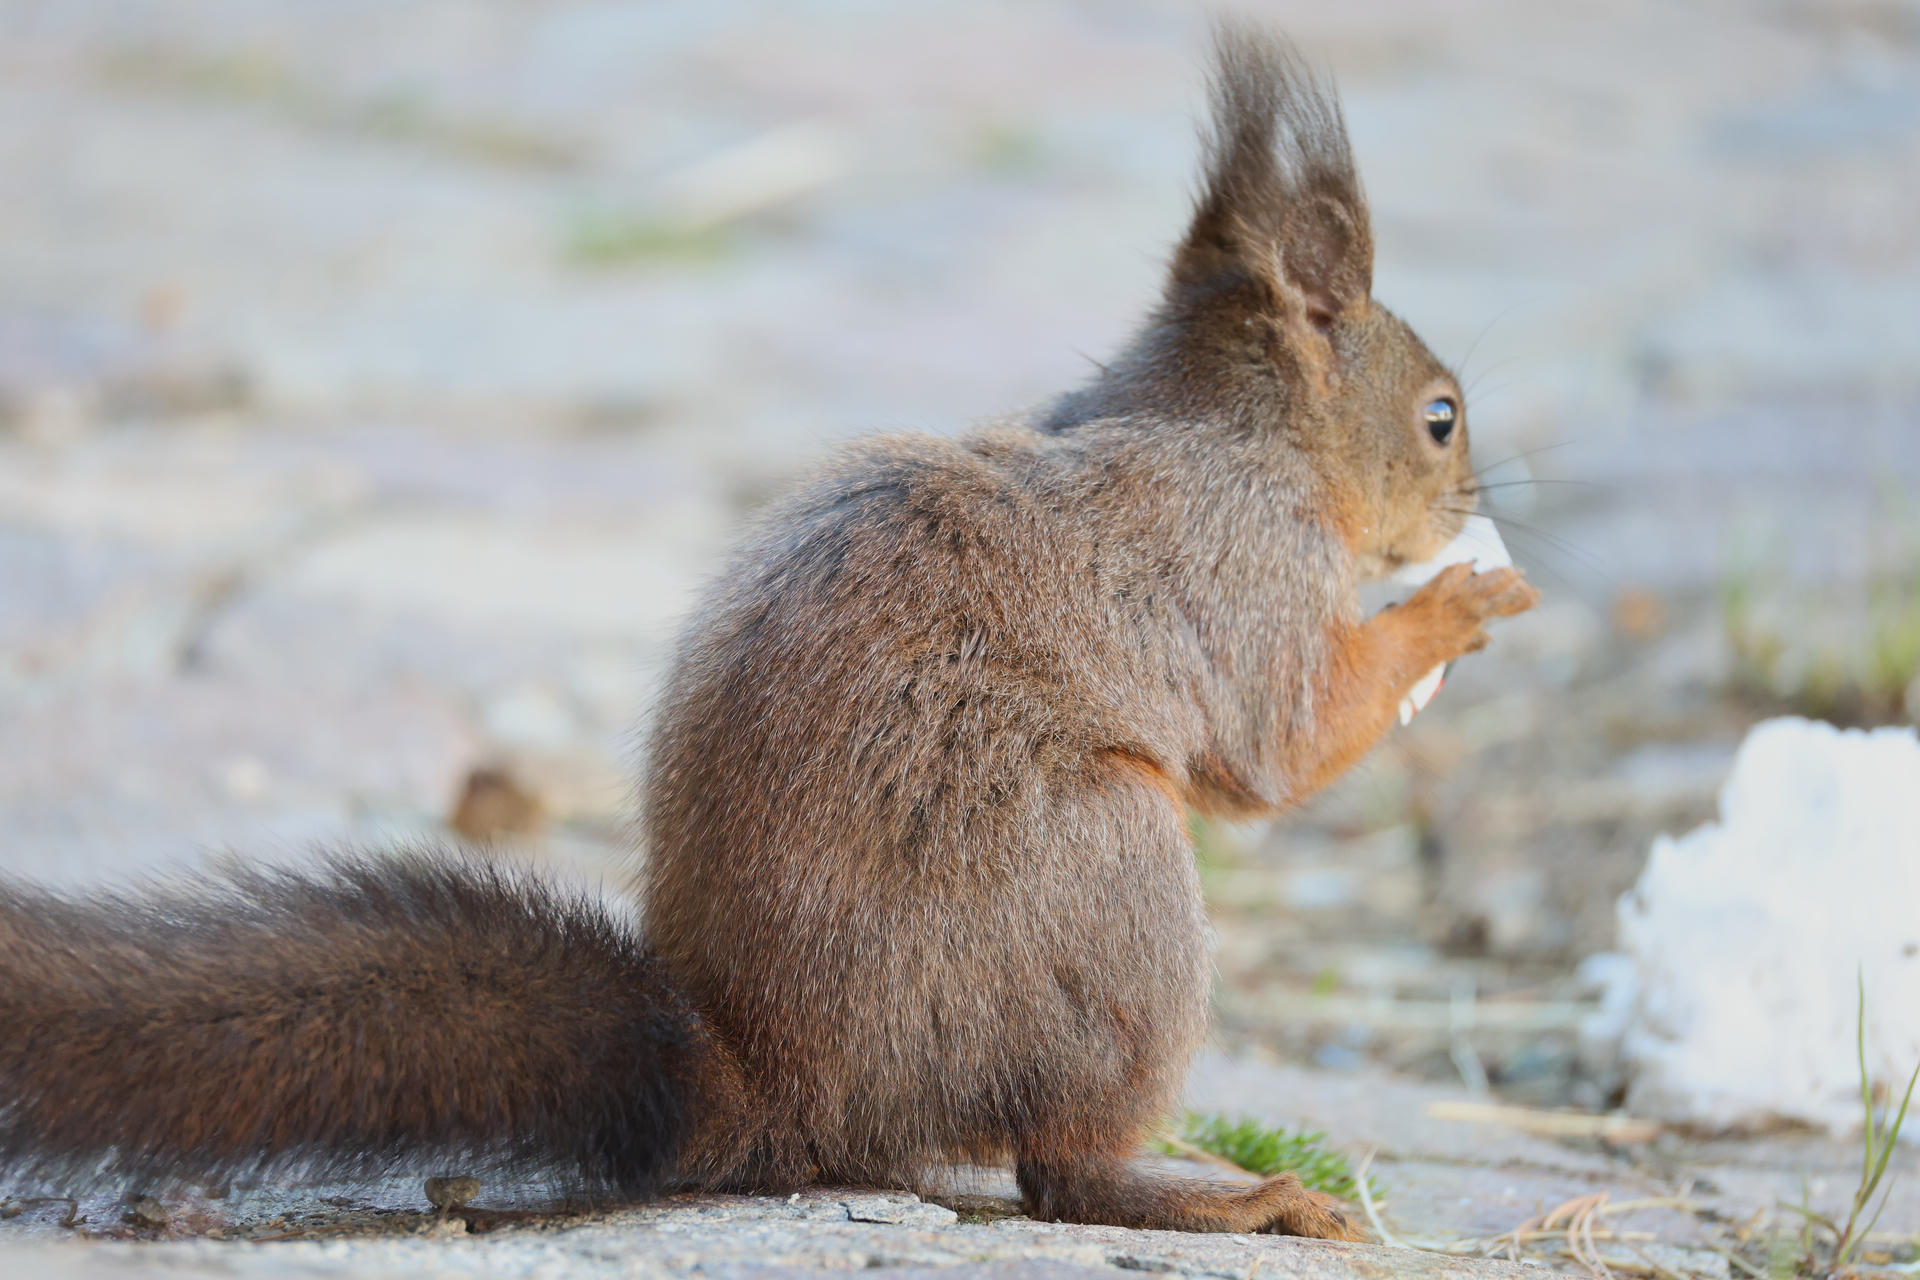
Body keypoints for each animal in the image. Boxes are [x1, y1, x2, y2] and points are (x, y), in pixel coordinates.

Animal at [0, 25, 1536, 1238]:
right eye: (1441, 415)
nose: (1474, 502)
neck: (1232, 432)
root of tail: (789, 1095)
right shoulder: (1244, 579)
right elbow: (1286, 748)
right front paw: (1459, 604)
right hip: (1107, 877)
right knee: (1061, 1171)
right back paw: (1232, 1195)